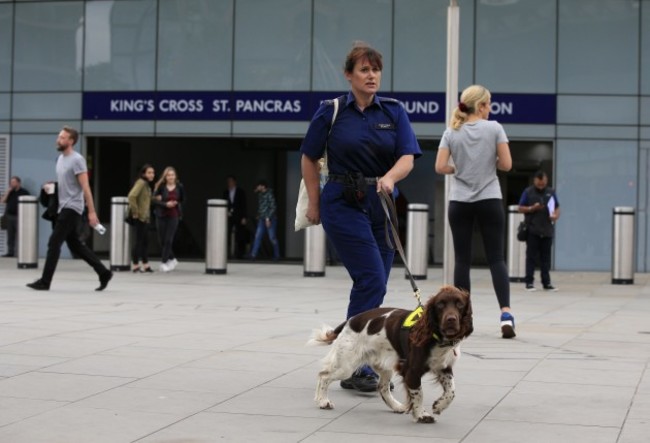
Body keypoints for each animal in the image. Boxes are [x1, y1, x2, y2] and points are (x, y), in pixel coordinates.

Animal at [306, 286, 474, 424]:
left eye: (459, 304)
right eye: (440, 305)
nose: (451, 320)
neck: (436, 337)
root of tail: (350, 321)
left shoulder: (444, 368)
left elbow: (451, 391)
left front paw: (439, 405)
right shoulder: (411, 370)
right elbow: (419, 394)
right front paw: (421, 415)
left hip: (384, 365)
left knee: (382, 387)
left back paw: (397, 406)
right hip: (346, 365)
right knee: (324, 376)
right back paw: (323, 401)